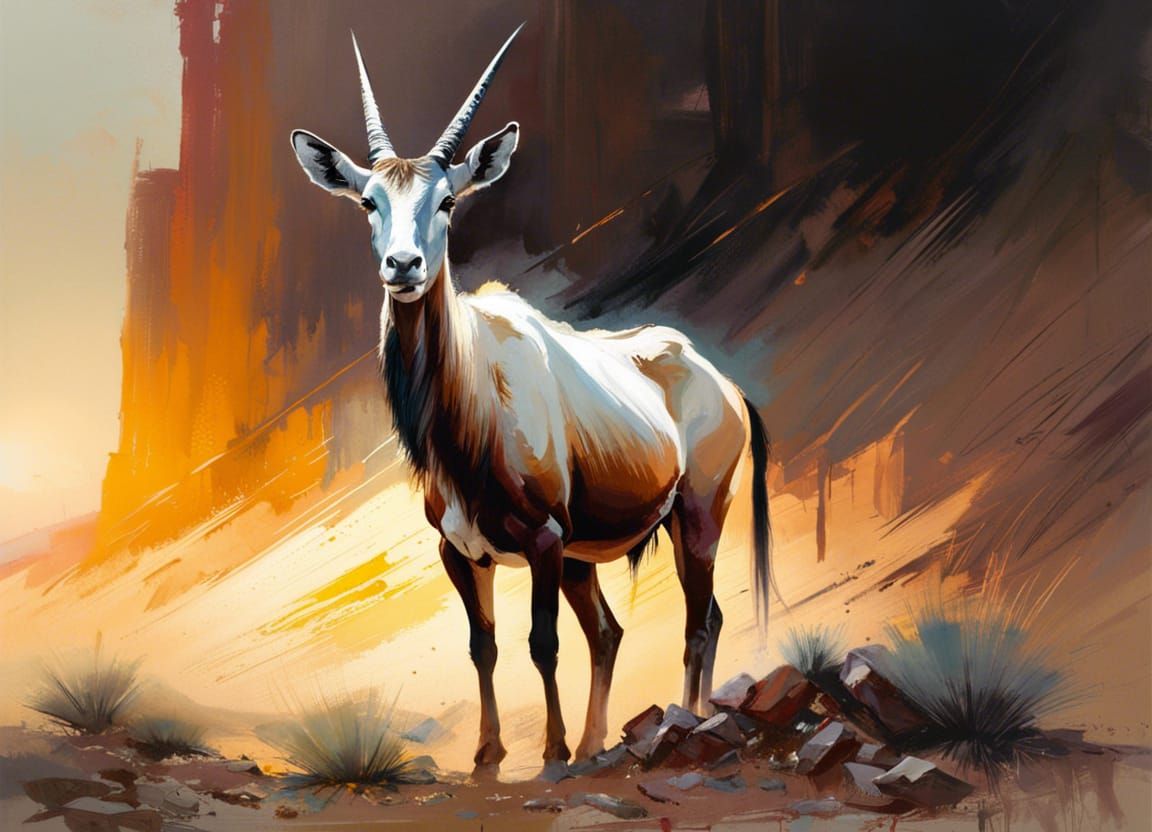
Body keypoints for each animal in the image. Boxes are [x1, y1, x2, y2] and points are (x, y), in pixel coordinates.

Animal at [290, 26, 772, 777]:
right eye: (370, 201)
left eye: (448, 201)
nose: (403, 267)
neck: (473, 401)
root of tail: (721, 379)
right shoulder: (461, 552)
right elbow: (482, 646)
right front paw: (490, 752)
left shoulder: (543, 540)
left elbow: (541, 644)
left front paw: (550, 750)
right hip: (586, 556)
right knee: (611, 631)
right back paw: (601, 741)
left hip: (695, 515)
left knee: (701, 619)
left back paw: (682, 720)